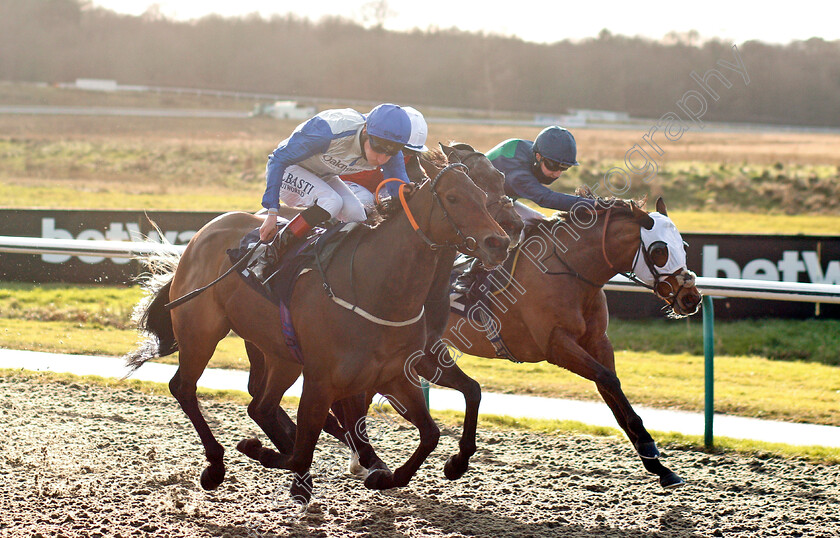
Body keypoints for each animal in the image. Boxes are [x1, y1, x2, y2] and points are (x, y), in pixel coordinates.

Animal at [121, 157, 508, 500]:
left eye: (484, 194)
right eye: (454, 198)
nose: (500, 242)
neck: (375, 288)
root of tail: (203, 233)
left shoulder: (396, 373)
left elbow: (432, 431)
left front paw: (406, 471)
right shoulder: (323, 380)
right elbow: (309, 447)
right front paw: (274, 457)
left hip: (279, 355)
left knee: (260, 406)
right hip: (202, 333)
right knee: (184, 388)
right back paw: (217, 466)